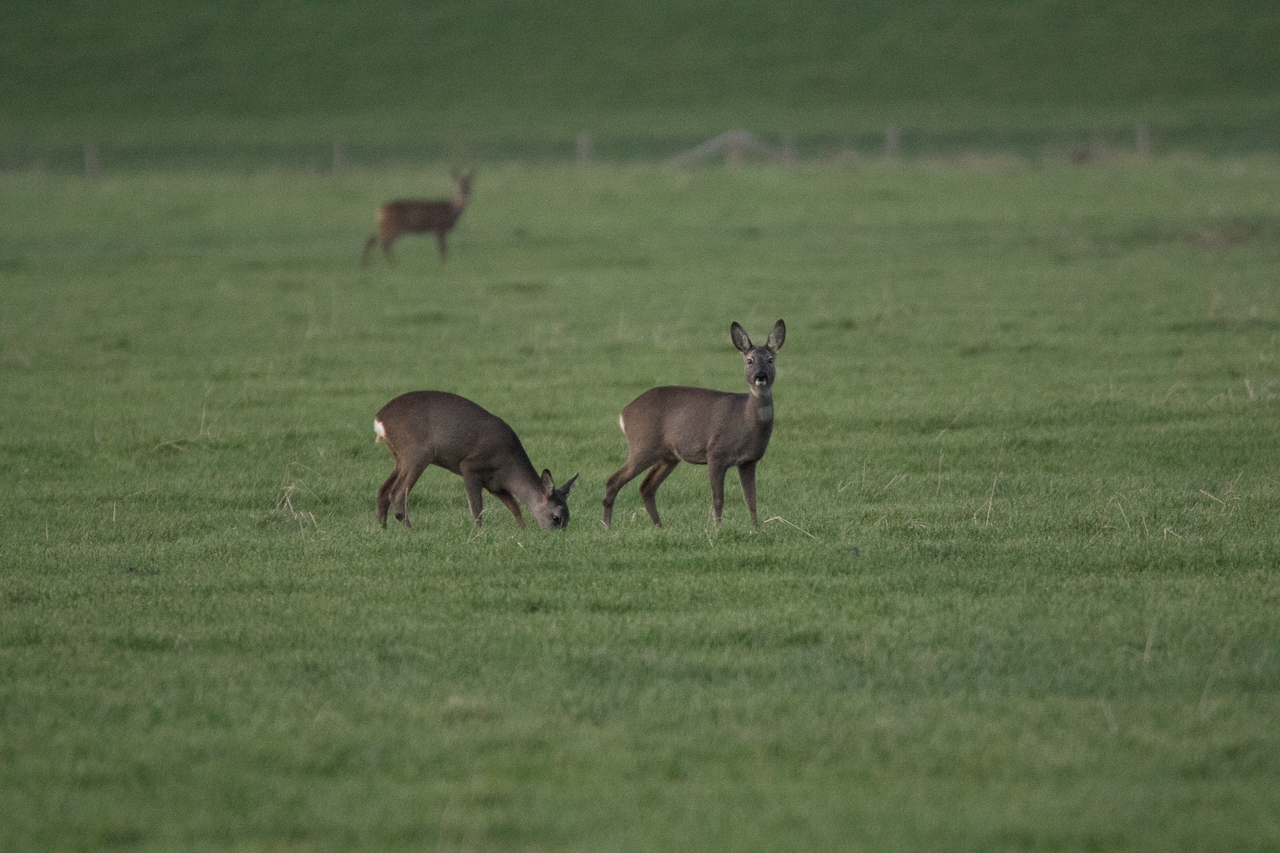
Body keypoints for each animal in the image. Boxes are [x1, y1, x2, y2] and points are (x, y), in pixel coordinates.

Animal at [373, 389, 578, 527]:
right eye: (556, 518)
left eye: (568, 519)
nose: (556, 536)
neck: (508, 467)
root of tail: (379, 419)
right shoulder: (469, 467)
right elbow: (477, 509)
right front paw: (479, 535)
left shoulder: (495, 485)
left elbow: (515, 508)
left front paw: (523, 531)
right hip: (417, 454)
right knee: (397, 494)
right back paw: (410, 530)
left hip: (399, 457)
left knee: (383, 491)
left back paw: (382, 530)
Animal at [601, 320, 788, 525]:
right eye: (749, 360)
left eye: (770, 360)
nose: (760, 376)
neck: (746, 419)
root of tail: (624, 413)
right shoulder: (715, 453)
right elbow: (718, 498)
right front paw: (717, 527)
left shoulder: (749, 460)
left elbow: (751, 499)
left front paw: (756, 528)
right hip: (643, 445)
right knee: (613, 480)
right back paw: (607, 526)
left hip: (668, 455)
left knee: (646, 486)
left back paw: (659, 526)